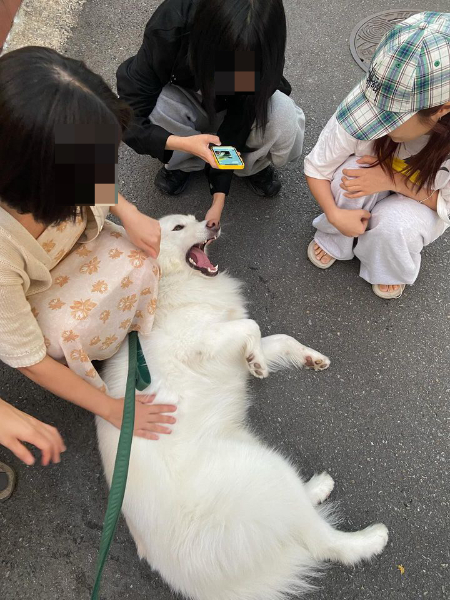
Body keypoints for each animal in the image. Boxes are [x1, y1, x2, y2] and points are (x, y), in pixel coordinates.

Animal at [96, 216, 388, 600]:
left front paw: (300, 359)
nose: (212, 222)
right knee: (323, 542)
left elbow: (277, 338)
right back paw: (371, 538)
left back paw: (319, 486)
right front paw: (259, 364)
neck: (174, 283)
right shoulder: (202, 341)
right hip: (267, 470)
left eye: (195, 219)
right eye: (178, 228)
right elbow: (253, 326)